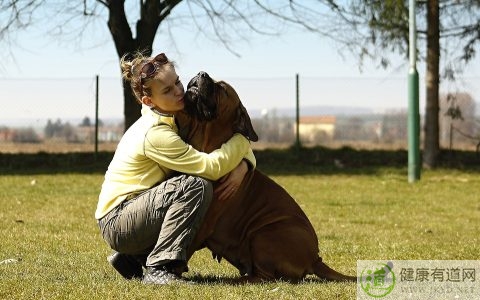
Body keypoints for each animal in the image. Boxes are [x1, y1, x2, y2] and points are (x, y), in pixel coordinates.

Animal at [176, 71, 356, 282]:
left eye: (222, 88)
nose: (201, 73)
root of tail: (315, 259)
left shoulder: (202, 222)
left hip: (262, 235)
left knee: (264, 276)